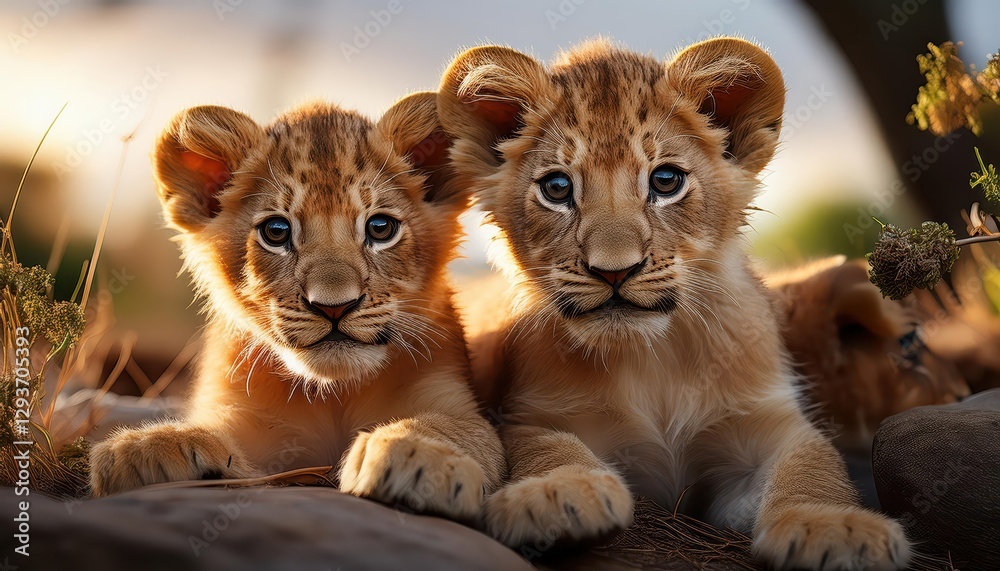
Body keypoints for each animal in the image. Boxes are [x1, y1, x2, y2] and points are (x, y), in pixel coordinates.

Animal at [88, 92, 504, 523]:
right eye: (276, 232)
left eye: (380, 228)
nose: (334, 307)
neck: (335, 393)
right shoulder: (242, 417)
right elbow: (215, 432)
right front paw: (147, 448)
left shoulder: (452, 398)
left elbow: (456, 428)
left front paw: (416, 454)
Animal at [439, 38, 911, 569]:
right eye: (557, 188)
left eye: (666, 181)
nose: (614, 271)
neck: (654, 358)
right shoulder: (533, 413)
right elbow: (544, 443)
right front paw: (558, 491)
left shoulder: (766, 422)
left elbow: (813, 461)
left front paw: (834, 527)